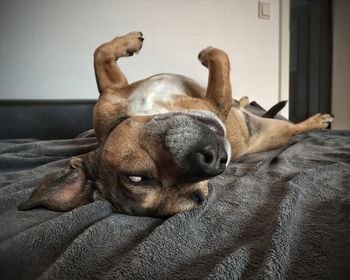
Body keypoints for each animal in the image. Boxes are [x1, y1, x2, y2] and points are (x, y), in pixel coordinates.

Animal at [18, 32, 334, 217]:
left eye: (135, 177)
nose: (215, 160)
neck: (148, 109)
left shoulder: (111, 92)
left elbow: (101, 51)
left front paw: (130, 42)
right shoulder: (216, 101)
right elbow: (221, 59)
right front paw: (206, 53)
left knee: (247, 102)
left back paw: (251, 101)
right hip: (275, 131)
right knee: (292, 128)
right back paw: (317, 120)